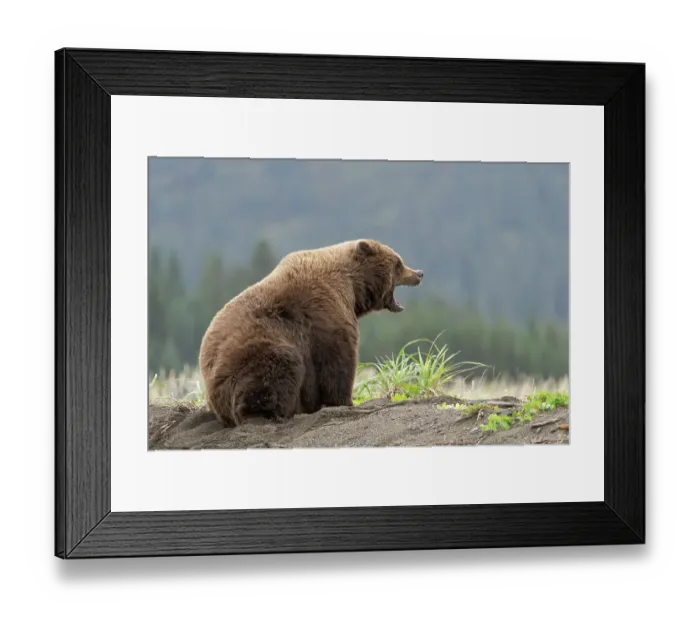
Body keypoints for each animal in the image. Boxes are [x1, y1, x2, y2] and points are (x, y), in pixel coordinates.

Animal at [198, 239, 423, 427]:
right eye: (398, 263)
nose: (419, 273)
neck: (352, 287)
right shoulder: (323, 313)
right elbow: (337, 359)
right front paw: (344, 401)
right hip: (252, 356)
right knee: (278, 367)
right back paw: (269, 415)